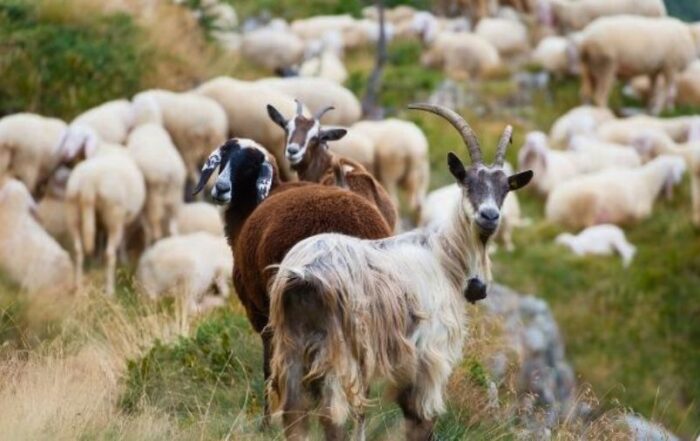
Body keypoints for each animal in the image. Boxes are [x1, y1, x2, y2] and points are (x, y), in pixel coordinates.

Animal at [65, 143, 146, 296]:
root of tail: (89, 183)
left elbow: (99, 240)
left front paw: (96, 263)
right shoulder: (122, 220)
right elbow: (121, 242)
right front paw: (124, 260)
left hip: (73, 212)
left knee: (78, 250)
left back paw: (78, 288)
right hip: (113, 214)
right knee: (109, 254)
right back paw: (110, 291)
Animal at [127, 96, 187, 245]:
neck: (149, 123)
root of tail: (169, 173)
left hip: (154, 199)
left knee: (154, 227)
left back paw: (153, 242)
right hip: (175, 198)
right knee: (172, 226)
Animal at [191, 138, 393, 423]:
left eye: (250, 166)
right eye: (225, 158)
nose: (221, 188)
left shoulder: (261, 311)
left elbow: (269, 365)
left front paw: (268, 420)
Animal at [545, 155, 686, 230]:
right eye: (676, 169)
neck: (648, 180)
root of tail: (551, 209)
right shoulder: (641, 209)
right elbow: (641, 217)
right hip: (588, 200)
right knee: (588, 225)